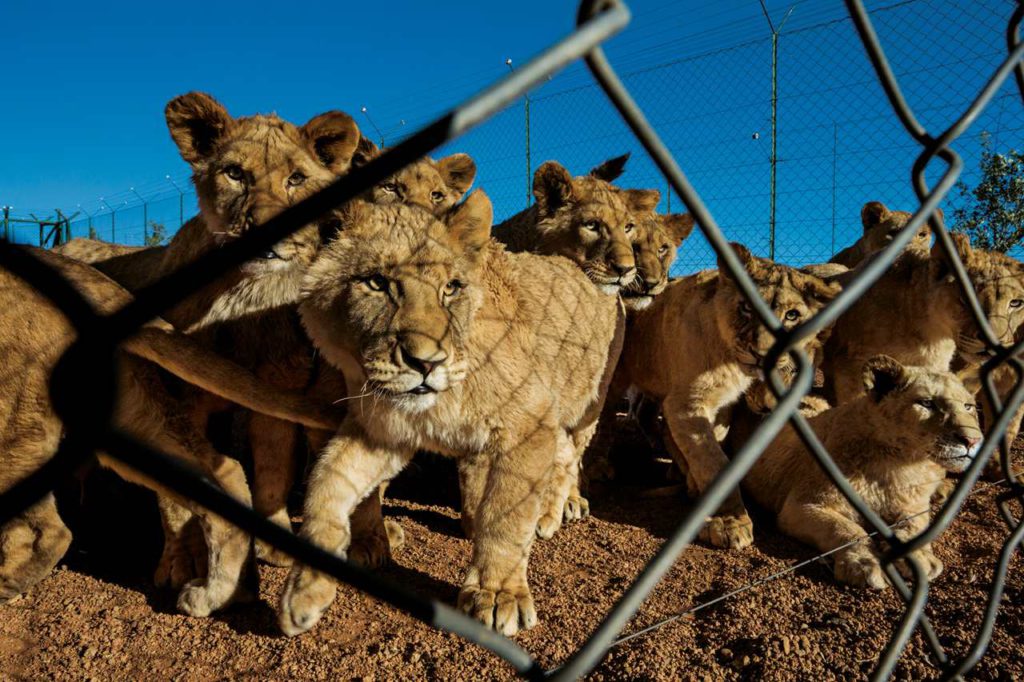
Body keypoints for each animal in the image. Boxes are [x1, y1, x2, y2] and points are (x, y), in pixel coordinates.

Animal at [276, 188, 618, 634]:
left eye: (451, 288)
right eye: (377, 283)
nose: (426, 363)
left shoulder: (530, 422)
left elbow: (506, 518)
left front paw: (498, 594)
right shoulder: (383, 430)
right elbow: (326, 484)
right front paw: (305, 589)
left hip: (586, 404)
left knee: (568, 459)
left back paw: (552, 511)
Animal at [614, 244, 839, 548]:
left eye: (792, 315)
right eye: (746, 307)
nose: (761, 354)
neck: (730, 361)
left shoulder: (722, 405)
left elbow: (714, 444)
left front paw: (695, 484)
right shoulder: (686, 404)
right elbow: (713, 461)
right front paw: (729, 522)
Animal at [749, 356, 978, 585]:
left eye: (968, 406)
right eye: (927, 403)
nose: (972, 440)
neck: (899, 465)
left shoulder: (914, 504)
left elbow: (916, 524)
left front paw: (920, 557)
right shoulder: (803, 504)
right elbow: (845, 529)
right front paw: (864, 563)